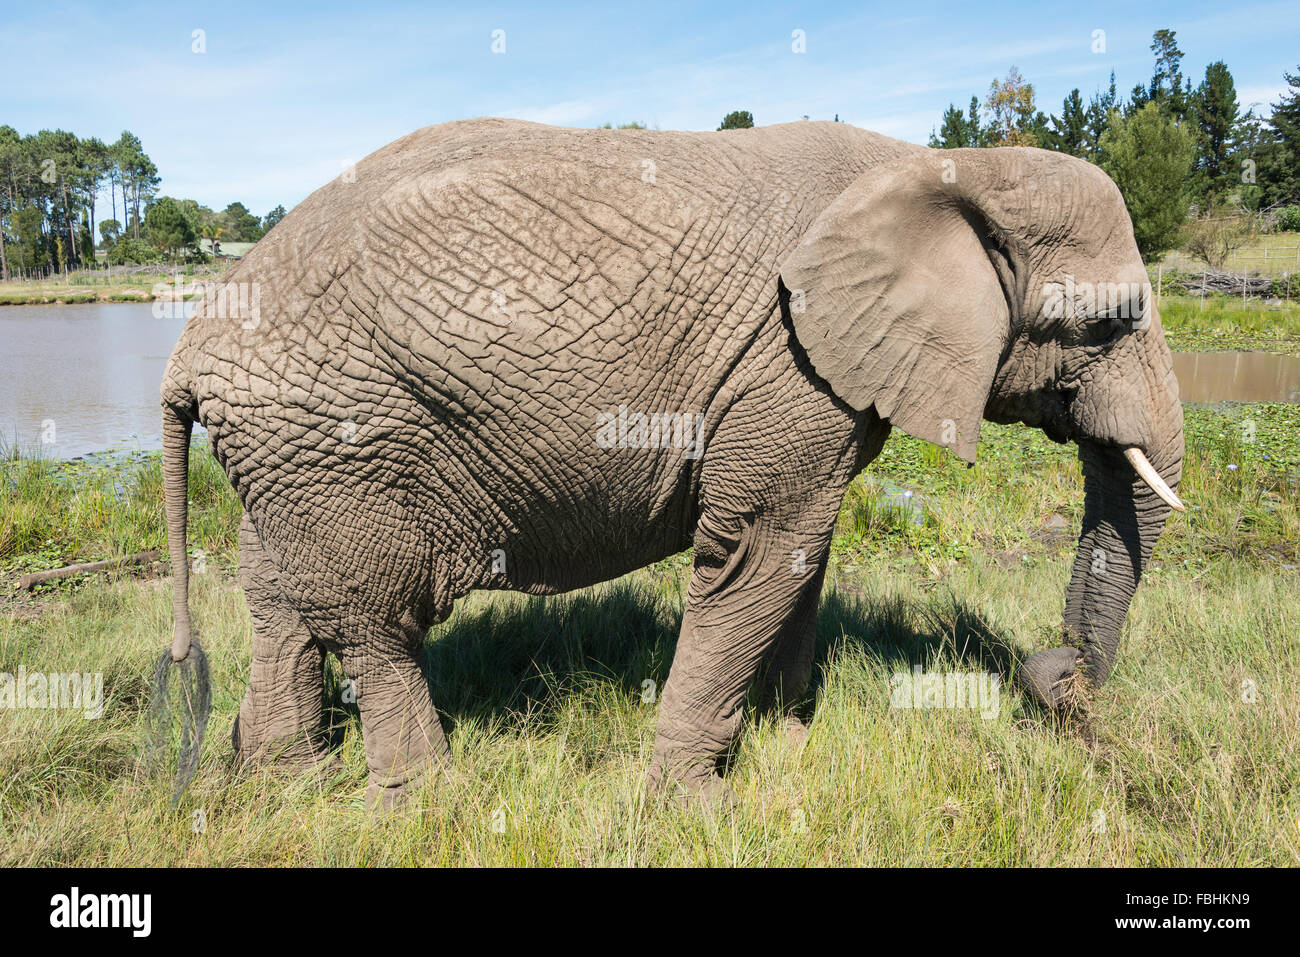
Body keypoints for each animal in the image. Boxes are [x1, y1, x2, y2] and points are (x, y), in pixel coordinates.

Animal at [157, 119, 1185, 806]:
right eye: (1103, 323)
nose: (1053, 673)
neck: (947, 164)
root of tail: (190, 345)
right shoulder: (788, 362)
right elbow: (757, 553)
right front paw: (698, 806)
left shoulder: (818, 382)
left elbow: (803, 551)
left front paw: (789, 740)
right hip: (338, 433)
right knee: (376, 617)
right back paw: (430, 803)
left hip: (291, 454)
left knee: (280, 596)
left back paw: (285, 782)